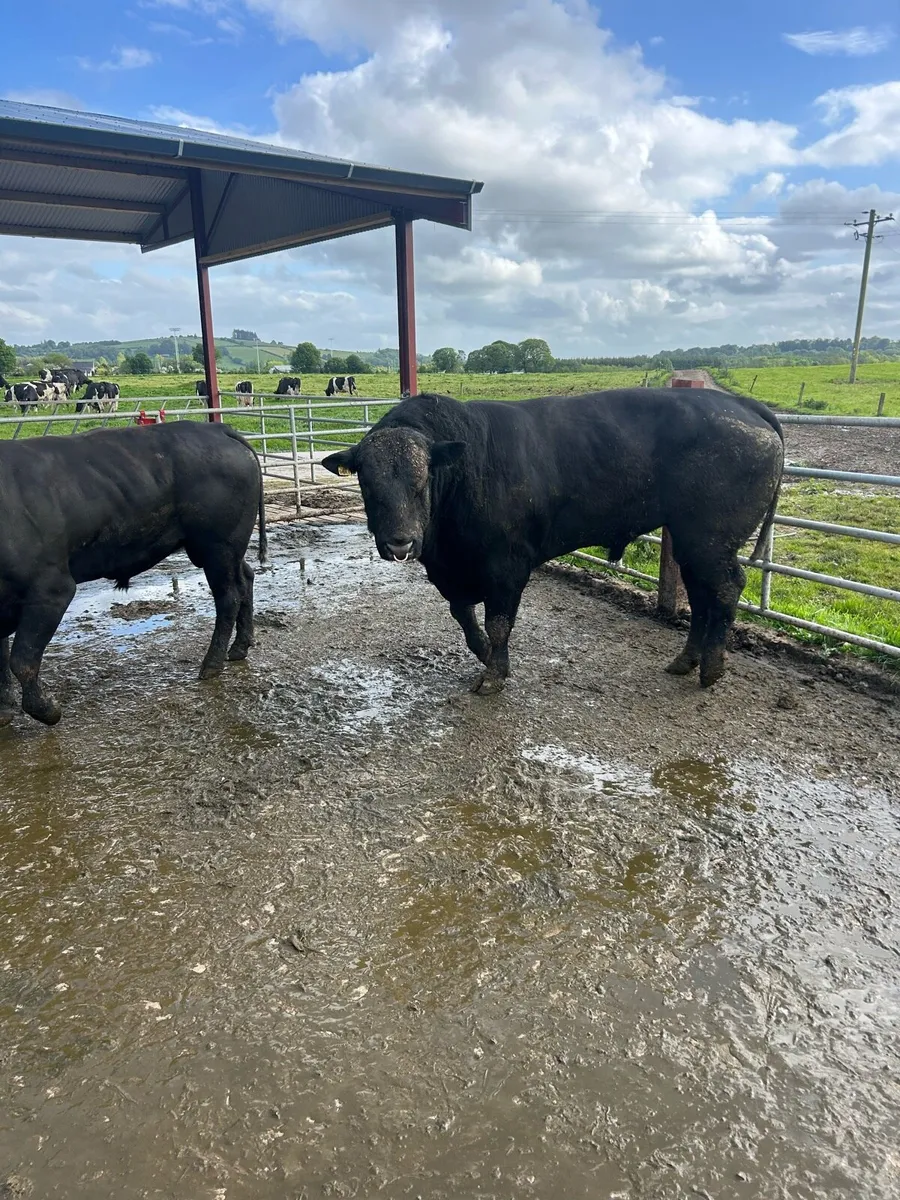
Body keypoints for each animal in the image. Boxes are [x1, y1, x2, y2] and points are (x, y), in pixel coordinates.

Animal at [0, 421, 267, 728]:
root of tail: (217, 428)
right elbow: (1, 658)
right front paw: (4, 710)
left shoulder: (51, 589)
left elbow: (22, 659)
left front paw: (47, 709)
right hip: (228, 550)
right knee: (246, 579)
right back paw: (239, 648)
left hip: (218, 547)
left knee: (229, 598)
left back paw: (211, 664)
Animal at [322, 389, 784, 694]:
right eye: (368, 485)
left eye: (421, 483)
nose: (400, 545)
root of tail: (742, 405)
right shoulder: (455, 572)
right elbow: (464, 617)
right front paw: (485, 655)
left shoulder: (507, 566)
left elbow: (498, 622)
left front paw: (494, 675)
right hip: (692, 542)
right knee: (702, 596)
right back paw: (685, 661)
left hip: (710, 540)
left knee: (724, 590)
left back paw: (711, 669)